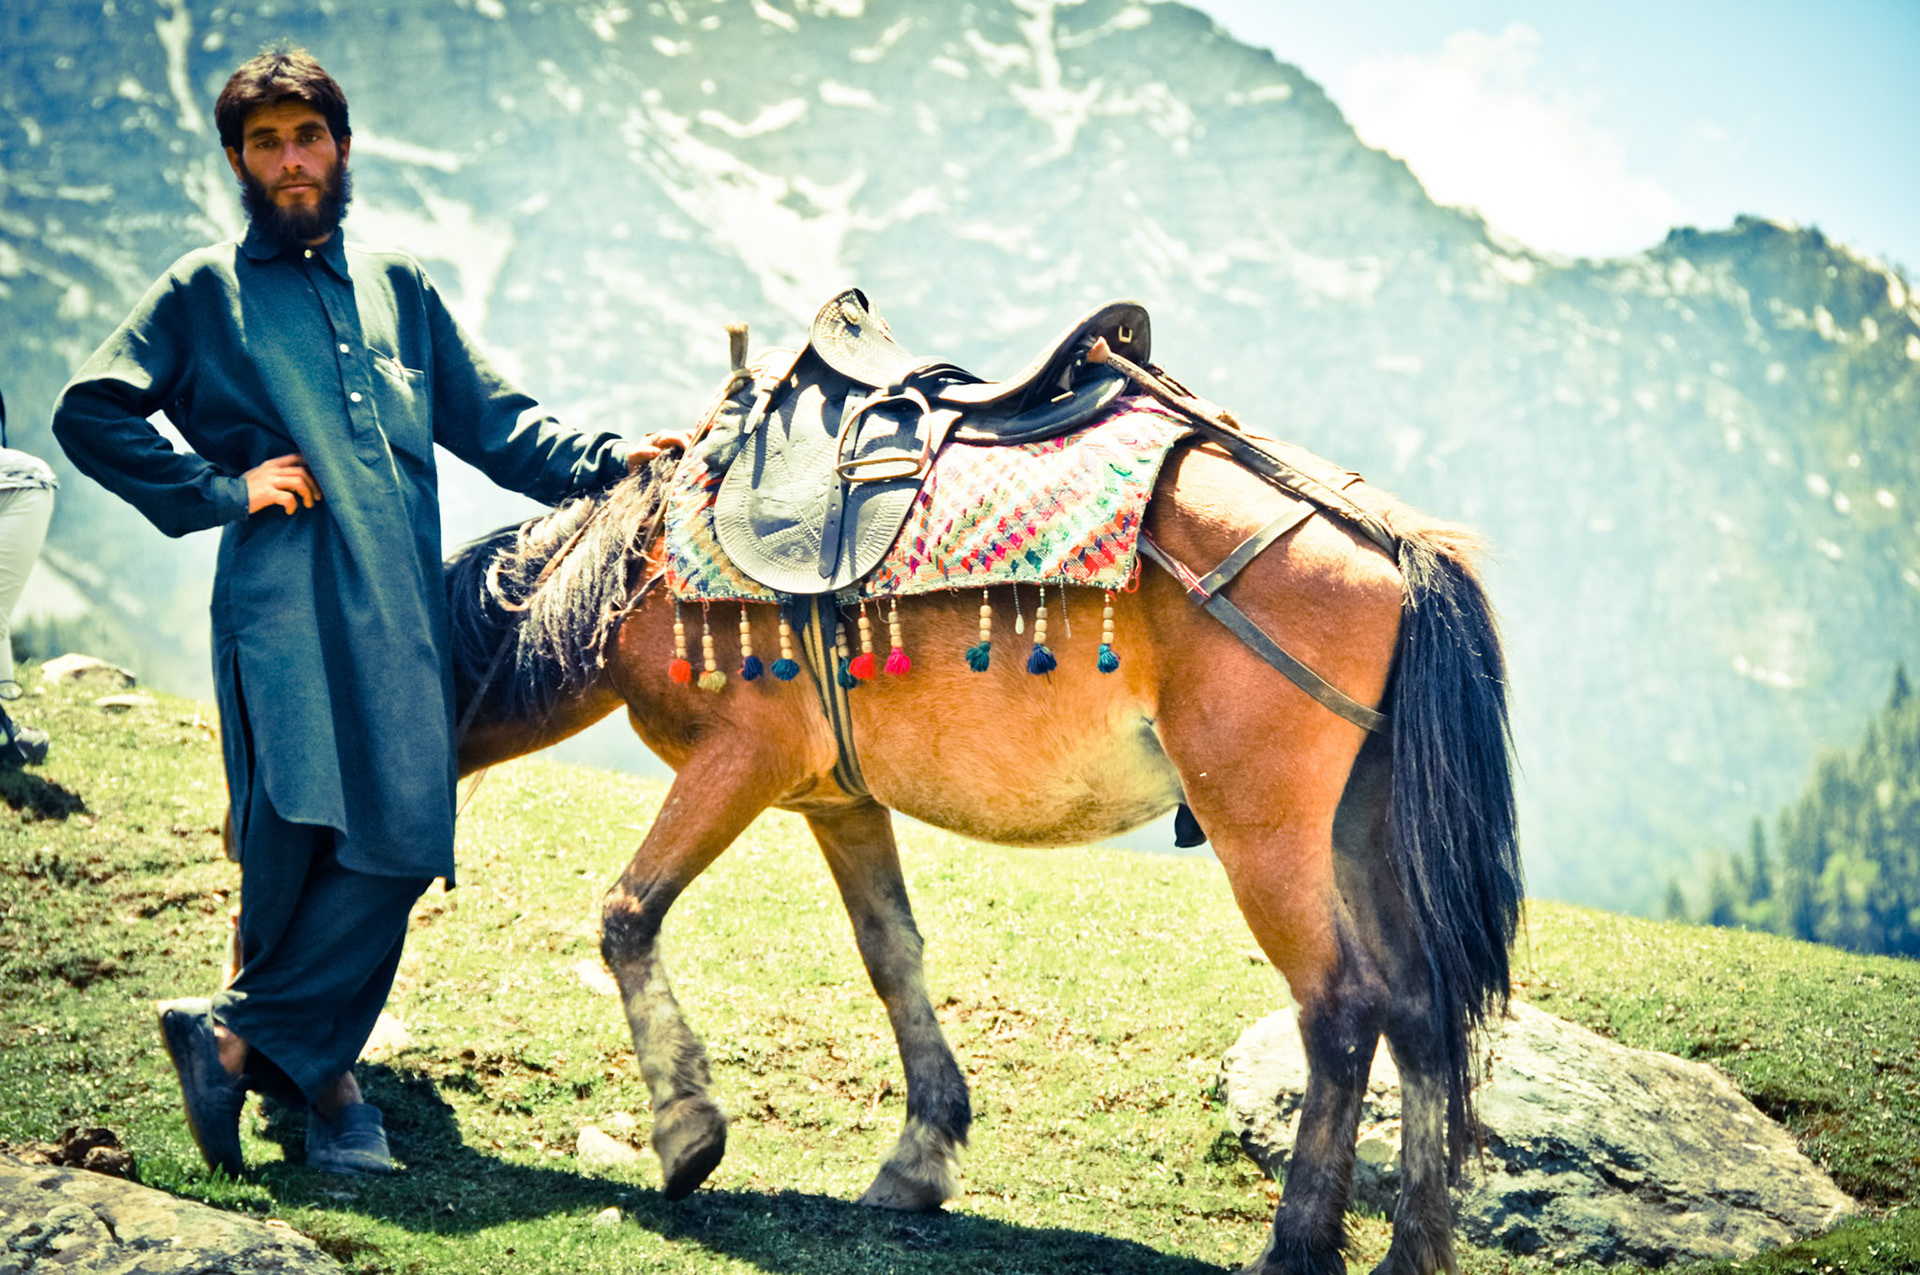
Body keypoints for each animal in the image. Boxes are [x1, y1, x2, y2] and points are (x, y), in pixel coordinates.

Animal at [443, 425, 1520, 1275]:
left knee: (1342, 1011)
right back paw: (1411, 1250)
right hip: (1362, 830)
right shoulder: (839, 801)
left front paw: (687, 1132)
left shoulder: (738, 762)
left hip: (1264, 832)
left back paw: (1295, 1245)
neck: (643, 568)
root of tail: (1392, 542)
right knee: (1420, 1009)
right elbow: (893, 958)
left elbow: (628, 916)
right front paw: (919, 1157)